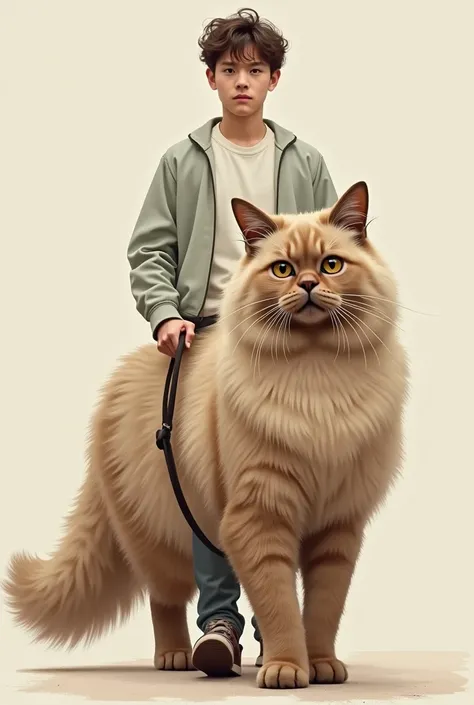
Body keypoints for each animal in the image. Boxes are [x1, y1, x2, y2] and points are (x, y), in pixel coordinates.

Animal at [2, 182, 408, 688]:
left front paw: (319, 664)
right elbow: (278, 603)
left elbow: (323, 609)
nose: (309, 285)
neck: (316, 382)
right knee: (166, 598)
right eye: (283, 269)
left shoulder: (338, 527)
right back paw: (184, 654)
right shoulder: (256, 515)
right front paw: (285, 668)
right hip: (170, 526)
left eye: (332, 264)